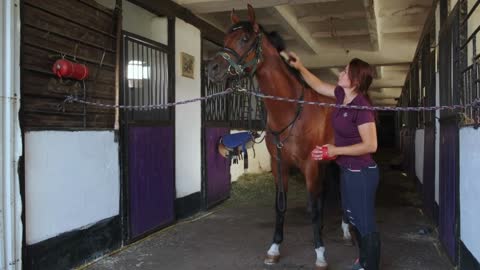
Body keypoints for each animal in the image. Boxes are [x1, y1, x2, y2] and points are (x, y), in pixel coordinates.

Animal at [208, 4, 346, 270]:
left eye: (244, 38)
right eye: (225, 38)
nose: (212, 68)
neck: (291, 112)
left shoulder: (310, 165)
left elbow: (313, 208)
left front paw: (320, 253)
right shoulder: (279, 165)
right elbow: (280, 206)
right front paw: (274, 248)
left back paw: (345, 230)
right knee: (323, 194)